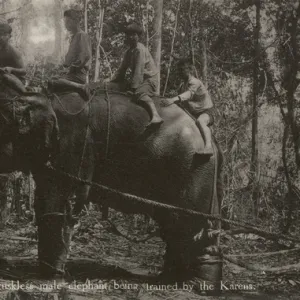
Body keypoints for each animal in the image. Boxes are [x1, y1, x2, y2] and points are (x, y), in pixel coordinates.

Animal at [0, 85, 223, 292]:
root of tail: (211, 138)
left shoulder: (72, 145)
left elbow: (60, 202)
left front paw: (49, 278)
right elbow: (45, 201)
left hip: (192, 168)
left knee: (186, 225)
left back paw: (195, 285)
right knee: (180, 227)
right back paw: (169, 280)